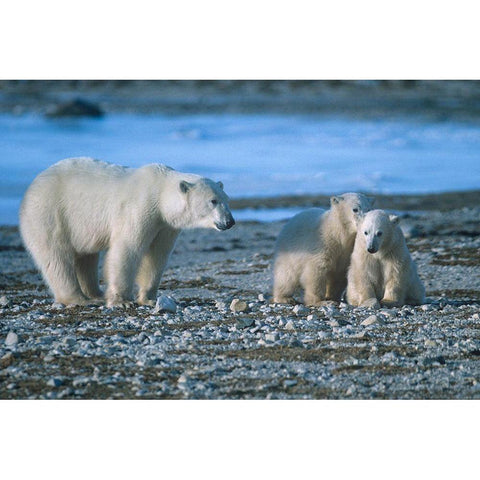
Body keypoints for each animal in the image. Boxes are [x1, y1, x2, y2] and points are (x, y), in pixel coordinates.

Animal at [20, 158, 234, 308]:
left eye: (227, 199)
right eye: (213, 201)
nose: (230, 221)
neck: (159, 191)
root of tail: (32, 186)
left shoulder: (165, 225)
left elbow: (156, 256)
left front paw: (148, 298)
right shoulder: (140, 208)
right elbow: (127, 250)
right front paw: (122, 301)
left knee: (86, 257)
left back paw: (96, 293)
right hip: (50, 214)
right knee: (57, 258)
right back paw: (80, 298)